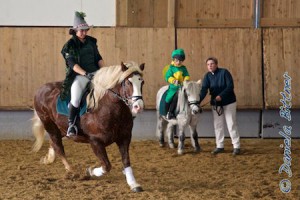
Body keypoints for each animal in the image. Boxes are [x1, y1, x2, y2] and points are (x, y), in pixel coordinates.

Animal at [32, 61, 144, 192]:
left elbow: (126, 161)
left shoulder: (124, 138)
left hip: (61, 128)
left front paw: (133, 183)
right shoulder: (95, 142)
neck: (109, 108)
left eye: (142, 82)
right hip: (49, 125)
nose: (138, 106)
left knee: (54, 143)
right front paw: (89, 171)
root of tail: (41, 89)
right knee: (58, 146)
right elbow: (106, 165)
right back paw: (72, 171)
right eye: (128, 82)